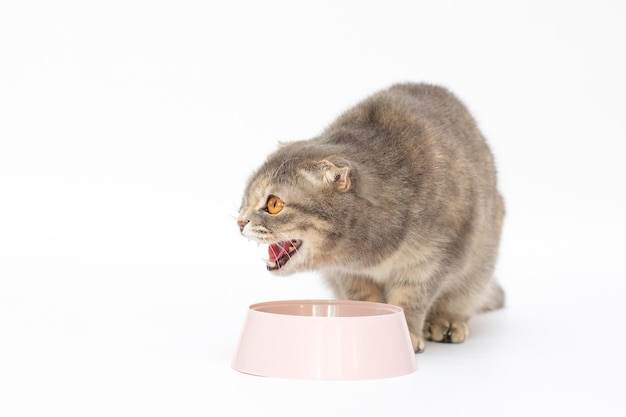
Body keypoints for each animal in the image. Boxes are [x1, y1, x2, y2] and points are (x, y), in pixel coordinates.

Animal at [234, 82, 502, 352]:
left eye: (274, 204)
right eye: (244, 201)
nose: (240, 222)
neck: (370, 255)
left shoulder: (432, 260)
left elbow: (411, 298)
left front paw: (406, 334)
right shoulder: (346, 273)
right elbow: (363, 298)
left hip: (479, 265)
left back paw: (446, 322)